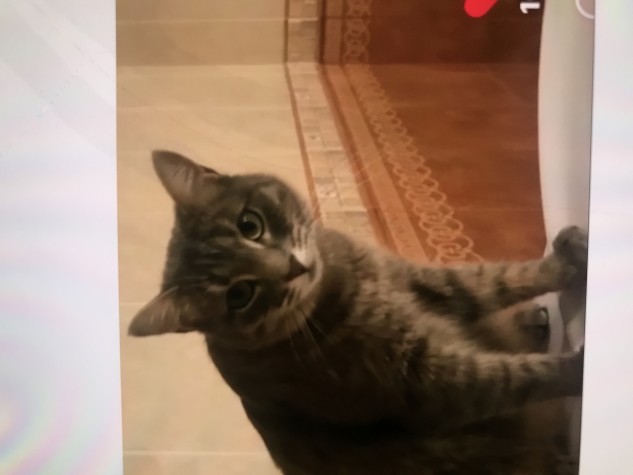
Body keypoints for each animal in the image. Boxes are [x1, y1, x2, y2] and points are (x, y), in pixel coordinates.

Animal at [128, 150, 588, 475]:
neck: (338, 283)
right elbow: (514, 376)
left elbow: (496, 279)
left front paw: (566, 260)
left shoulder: (418, 279)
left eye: (250, 225)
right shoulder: (425, 381)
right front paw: (579, 365)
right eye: (240, 294)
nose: (292, 268)